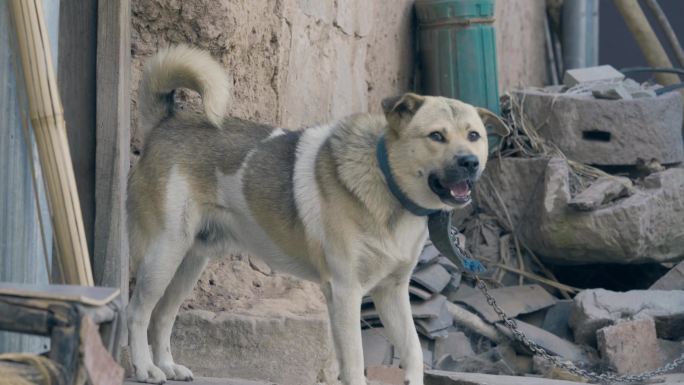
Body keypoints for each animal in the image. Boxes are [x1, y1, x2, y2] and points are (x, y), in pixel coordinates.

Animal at [127, 45, 508, 384]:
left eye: (474, 135)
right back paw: (146, 369)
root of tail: (166, 122)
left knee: (163, 315)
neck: (387, 185)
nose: (469, 163)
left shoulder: (393, 292)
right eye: (436, 136)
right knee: (138, 310)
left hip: (191, 260)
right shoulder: (345, 291)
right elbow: (354, 363)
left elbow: (413, 352)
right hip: (164, 253)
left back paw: (168, 366)